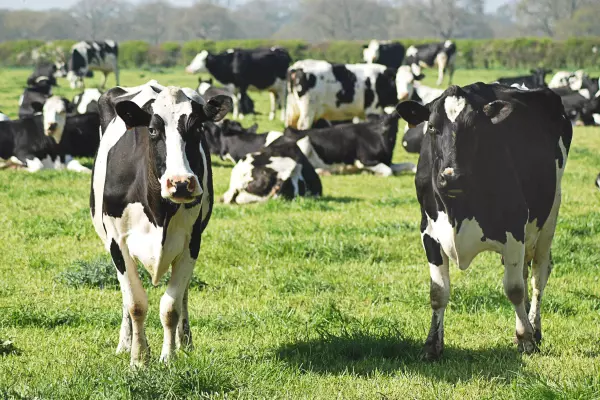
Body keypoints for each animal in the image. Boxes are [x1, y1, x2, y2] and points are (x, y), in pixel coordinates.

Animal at [91, 80, 232, 366]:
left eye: (198, 127)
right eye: (153, 130)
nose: (181, 183)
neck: (159, 213)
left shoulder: (191, 243)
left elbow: (170, 306)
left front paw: (168, 357)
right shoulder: (117, 243)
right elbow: (135, 303)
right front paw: (138, 358)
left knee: (184, 293)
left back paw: (185, 341)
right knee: (125, 297)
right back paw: (125, 343)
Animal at [280, 111, 412, 176]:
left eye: (393, 121)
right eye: (378, 121)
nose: (384, 129)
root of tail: (291, 130)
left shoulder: (388, 162)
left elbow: (409, 165)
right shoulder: (364, 160)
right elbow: (389, 171)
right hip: (305, 142)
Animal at [396, 82, 576, 360]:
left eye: (474, 127)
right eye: (433, 127)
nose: (452, 176)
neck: (457, 209)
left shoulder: (514, 229)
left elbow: (514, 289)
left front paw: (526, 339)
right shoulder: (429, 233)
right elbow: (438, 292)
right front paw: (431, 345)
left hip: (549, 216)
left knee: (538, 275)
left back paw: (534, 328)